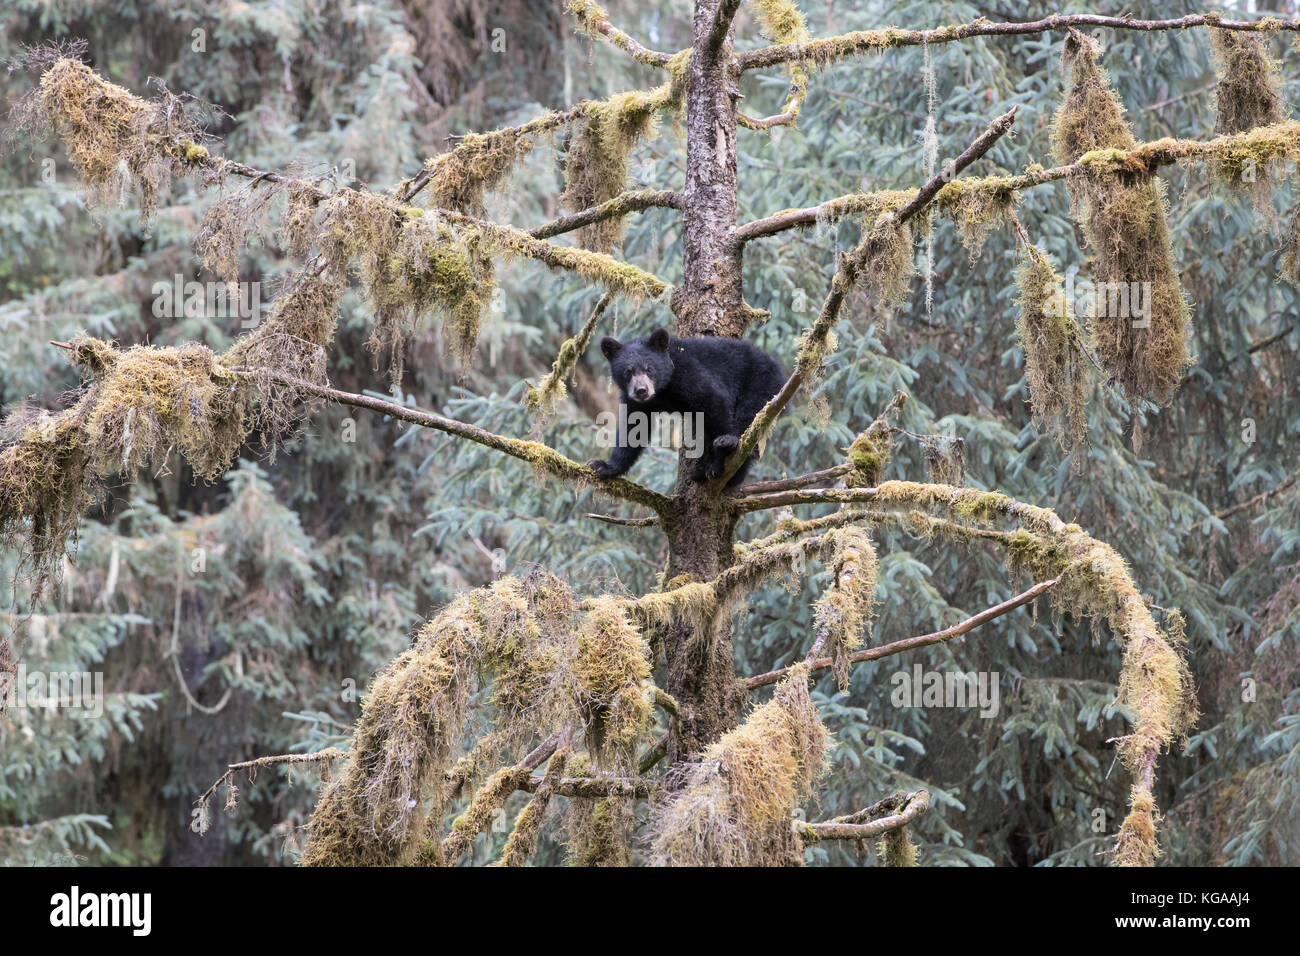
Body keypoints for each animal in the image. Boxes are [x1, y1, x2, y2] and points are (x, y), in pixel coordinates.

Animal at [587, 328, 786, 487]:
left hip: (761, 383)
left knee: (750, 418)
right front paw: (604, 466)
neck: (663, 391)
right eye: (628, 372)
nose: (641, 390)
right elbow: (633, 429)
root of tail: (777, 367)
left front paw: (720, 456)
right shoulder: (635, 402)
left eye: (649, 369)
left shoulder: (687, 373)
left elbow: (714, 399)